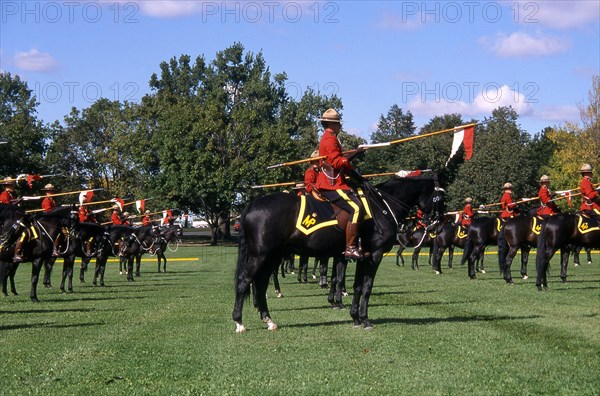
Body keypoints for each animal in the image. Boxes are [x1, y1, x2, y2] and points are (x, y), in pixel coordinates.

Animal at [232, 176, 442, 332]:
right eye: (440, 197)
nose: (436, 225)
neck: (381, 207)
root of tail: (252, 204)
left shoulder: (359, 257)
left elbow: (356, 286)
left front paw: (355, 317)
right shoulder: (374, 256)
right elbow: (366, 287)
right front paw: (364, 319)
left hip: (271, 256)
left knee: (260, 284)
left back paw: (268, 320)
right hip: (261, 255)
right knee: (244, 282)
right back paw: (239, 322)